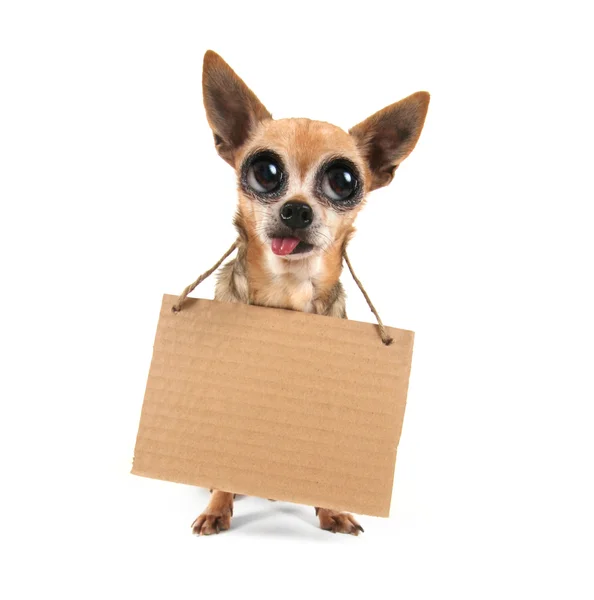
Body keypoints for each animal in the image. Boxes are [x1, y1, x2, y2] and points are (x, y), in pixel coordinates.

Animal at [190, 51, 426, 536]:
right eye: (265, 172)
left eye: (343, 181)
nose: (296, 210)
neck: (289, 290)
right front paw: (218, 506)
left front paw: (331, 509)